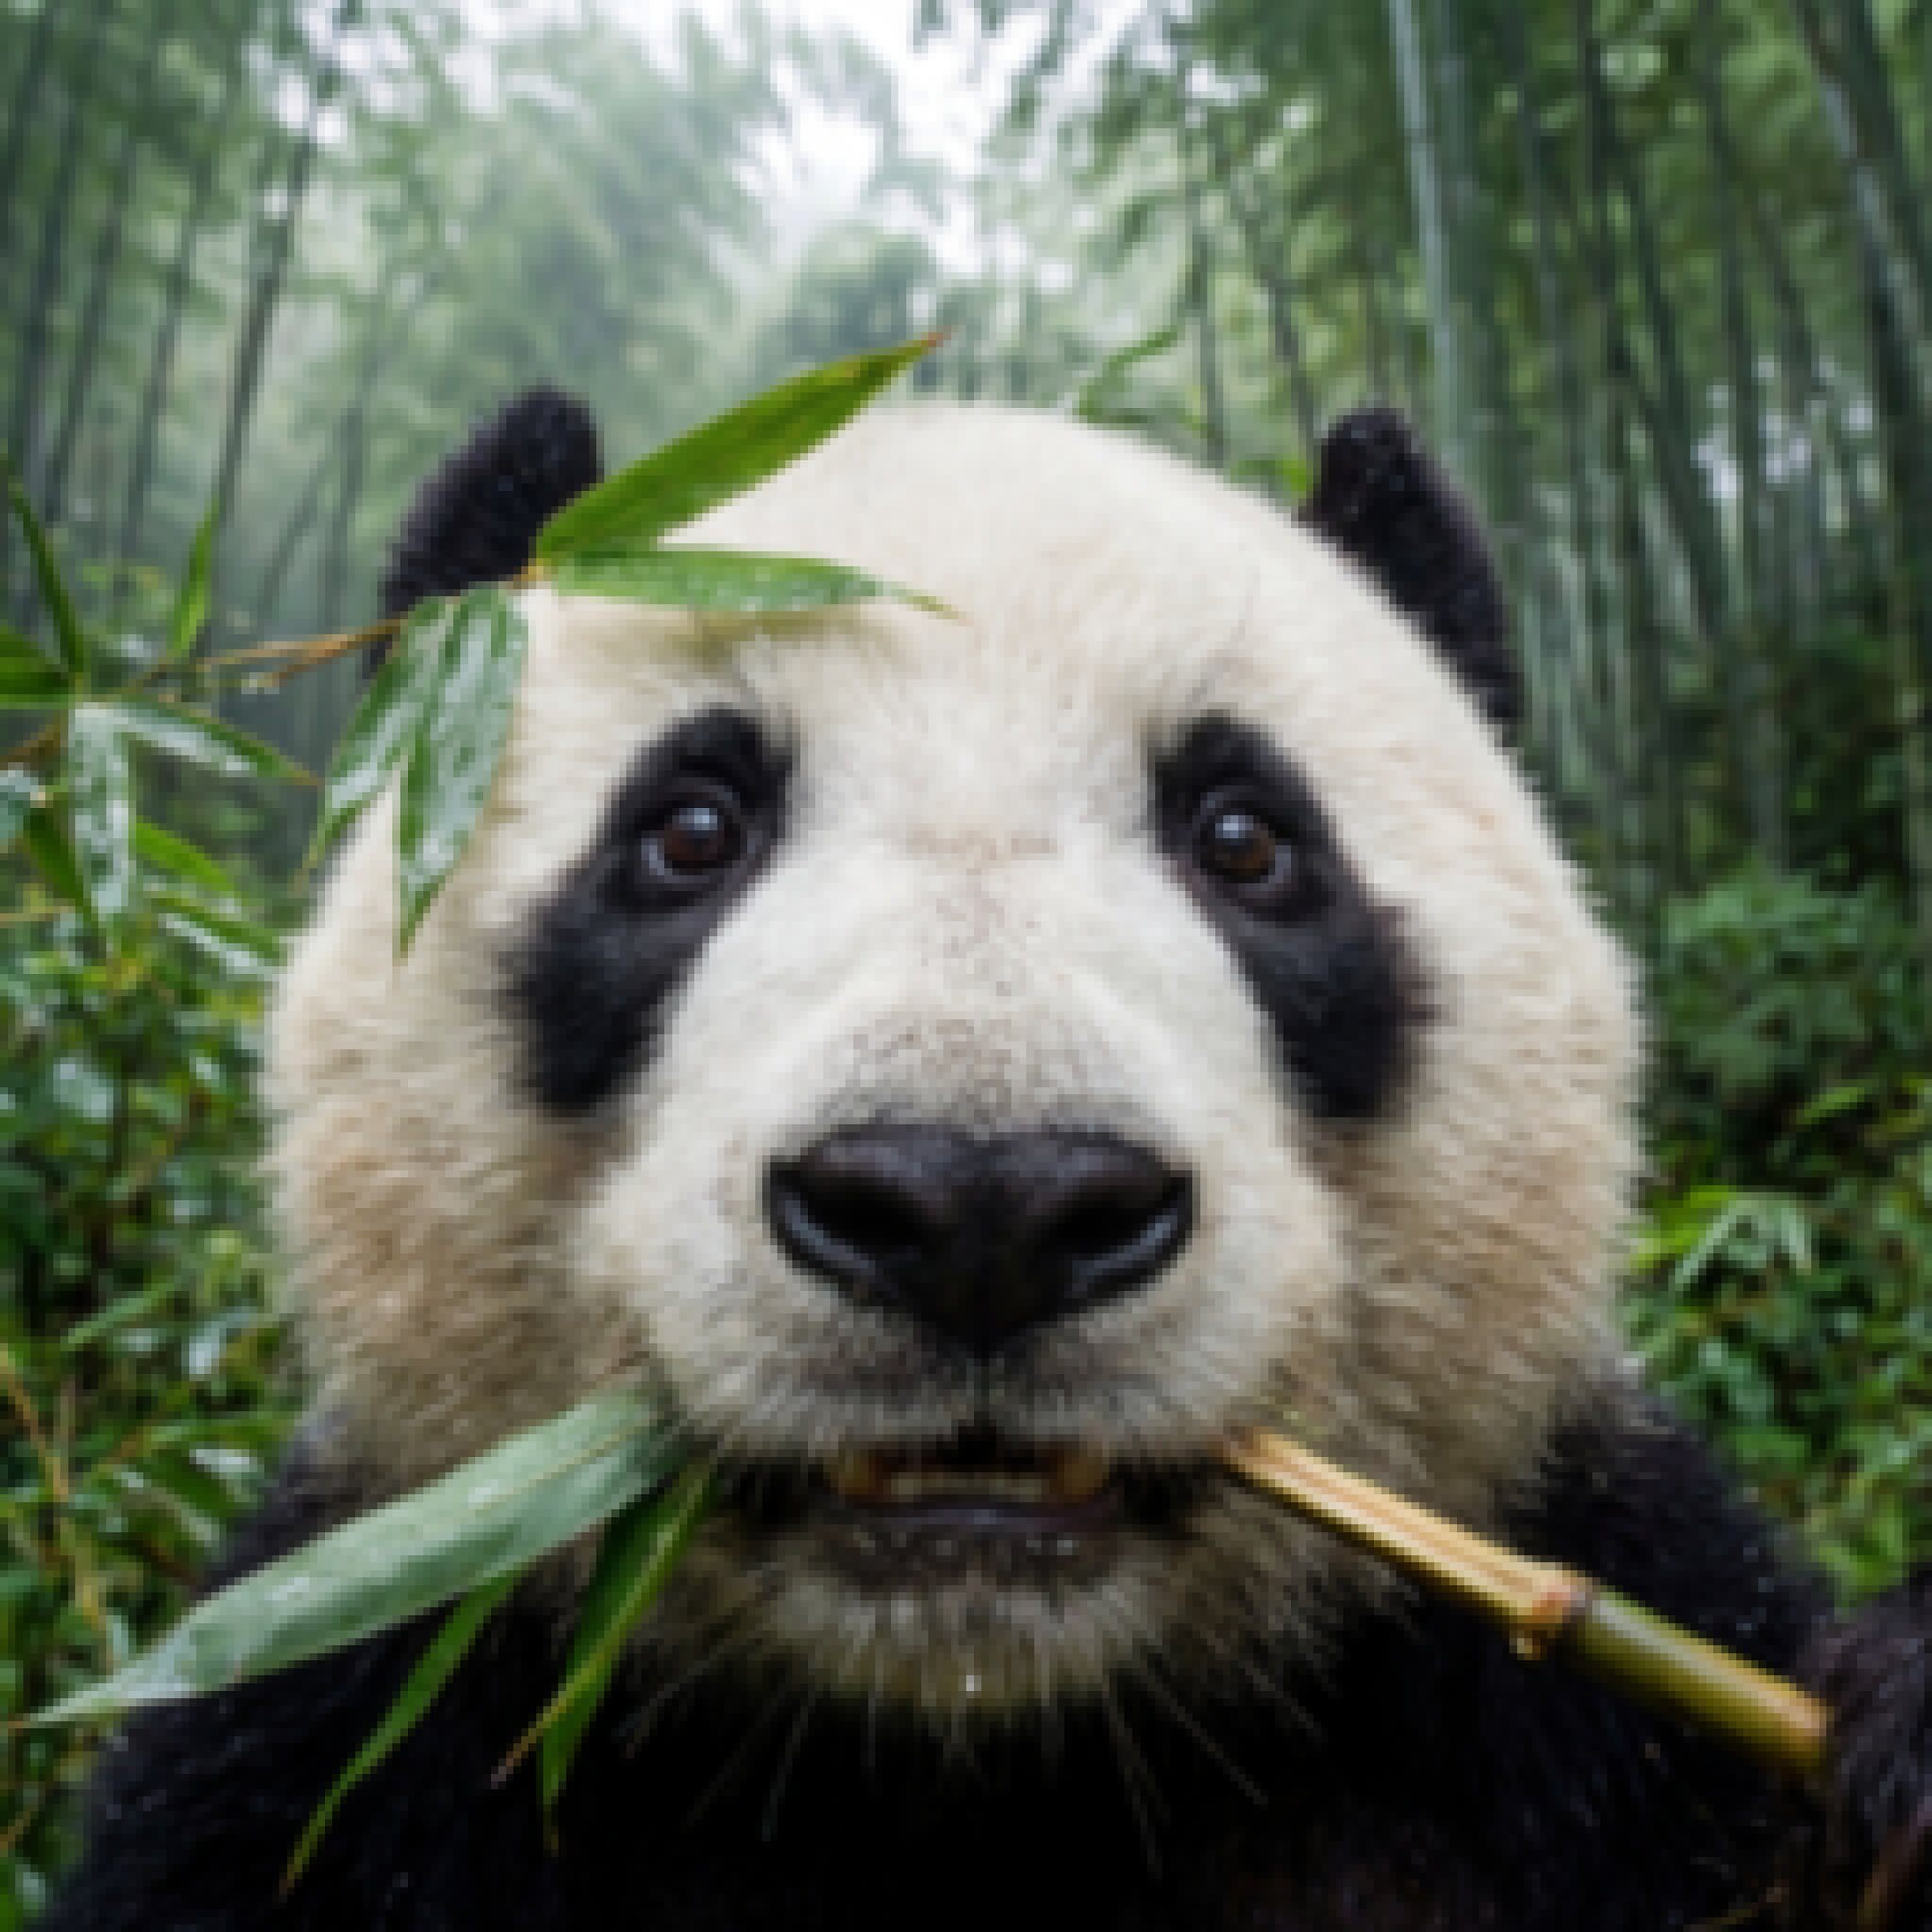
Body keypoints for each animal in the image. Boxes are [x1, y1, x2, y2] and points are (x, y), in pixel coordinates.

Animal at [40, 391, 1932, 1930]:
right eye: (688, 830)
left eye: (1247, 839)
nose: (980, 1207)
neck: (972, 1756)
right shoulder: (349, 1711)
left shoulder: (1574, 1698)